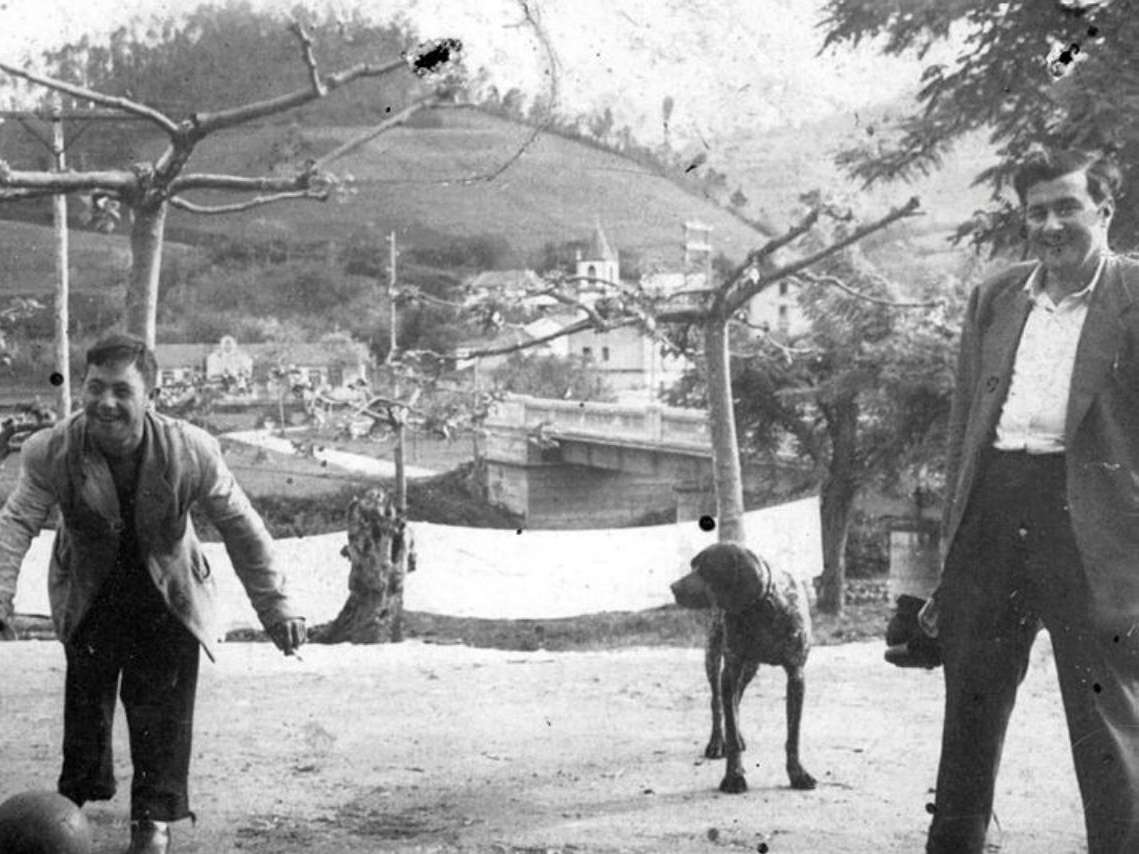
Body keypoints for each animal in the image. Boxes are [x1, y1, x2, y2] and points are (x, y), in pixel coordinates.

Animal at [669, 542, 815, 797]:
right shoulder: (731, 668)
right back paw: (718, 742)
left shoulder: (796, 675)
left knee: (735, 701)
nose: (673, 588)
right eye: (693, 565)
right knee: (718, 703)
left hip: (749, 668)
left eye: (706, 569)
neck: (762, 608)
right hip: (714, 656)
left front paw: (797, 774)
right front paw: (734, 777)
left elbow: (793, 735)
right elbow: (728, 722)